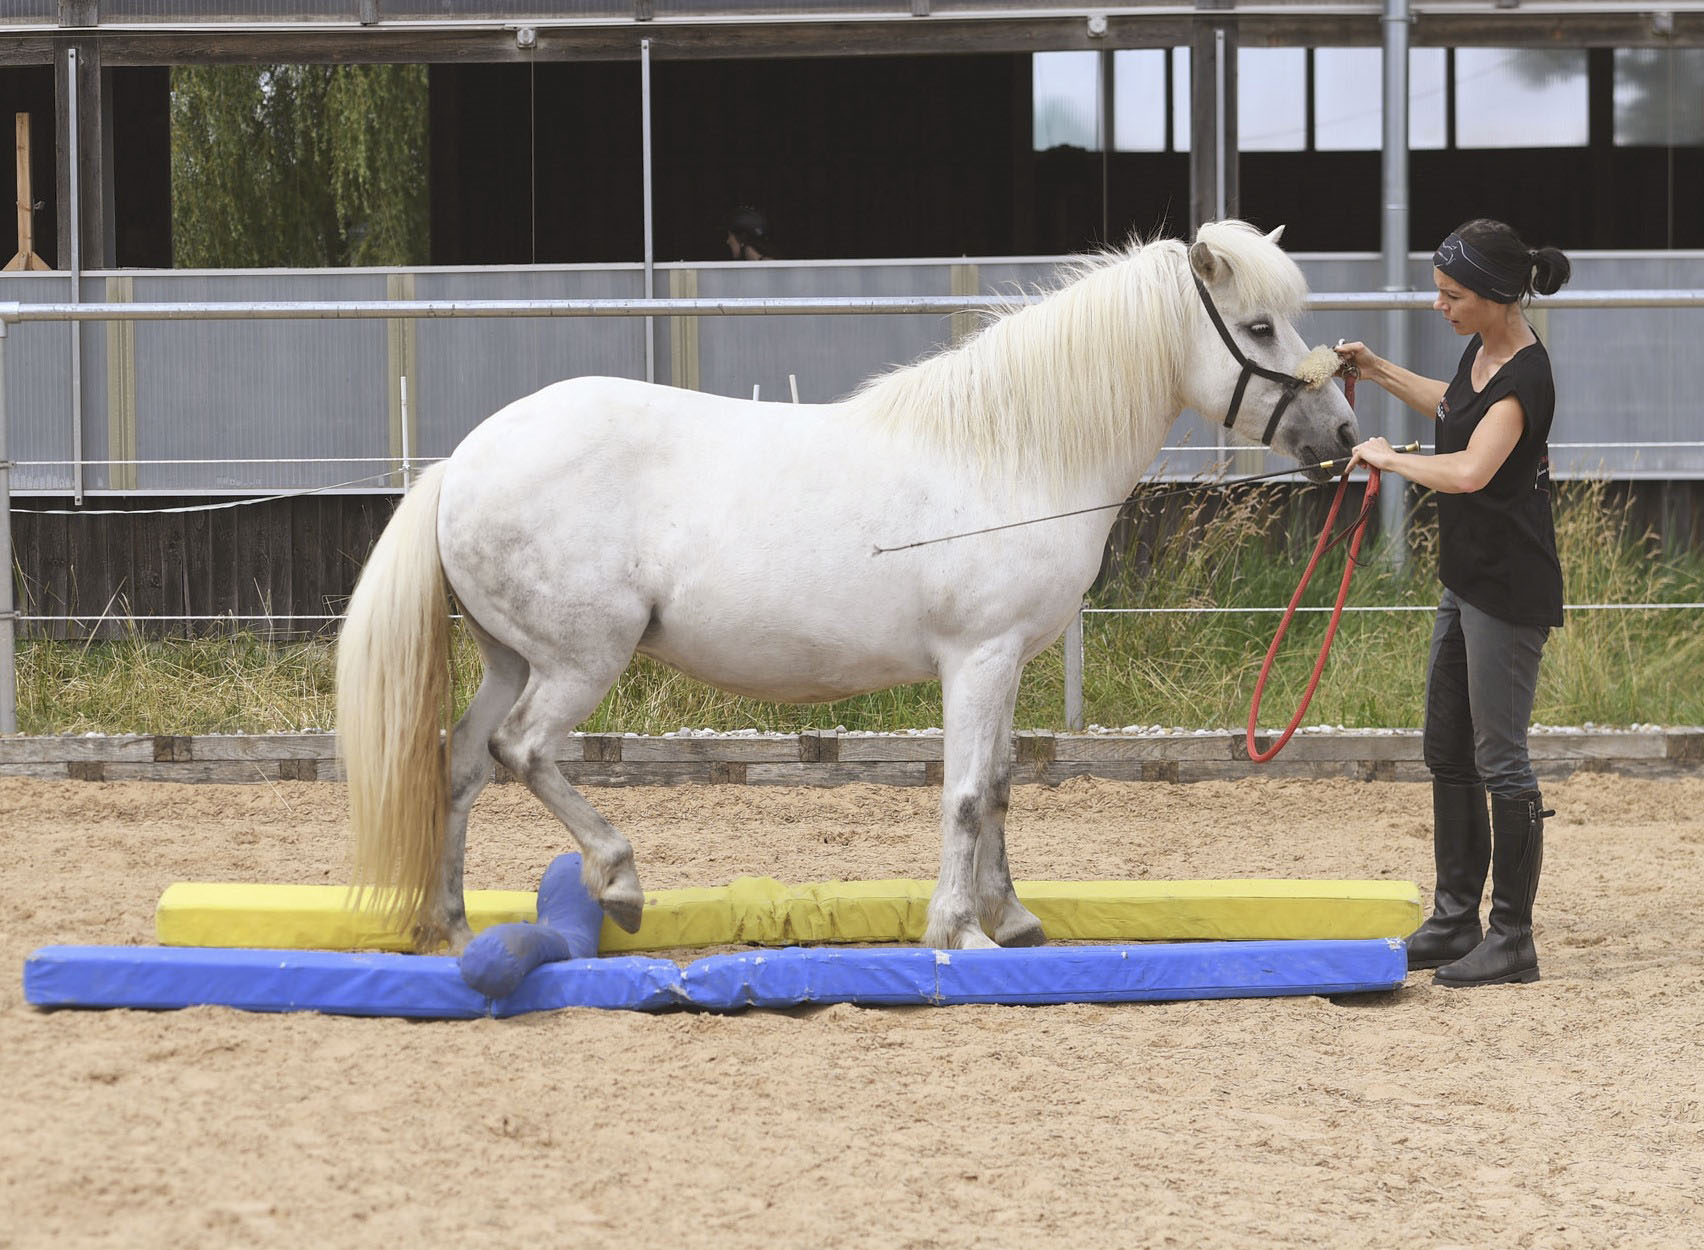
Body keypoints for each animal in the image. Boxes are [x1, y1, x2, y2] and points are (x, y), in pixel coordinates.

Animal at [339, 219, 1356, 953]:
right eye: (1259, 327)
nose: (1342, 437)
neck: (1012, 457)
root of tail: (463, 461)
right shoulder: (977, 658)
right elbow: (964, 794)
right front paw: (958, 933)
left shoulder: (1007, 663)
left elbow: (999, 784)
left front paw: (1011, 919)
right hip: (579, 662)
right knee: (523, 750)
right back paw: (619, 881)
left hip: (512, 658)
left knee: (461, 765)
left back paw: (455, 925)